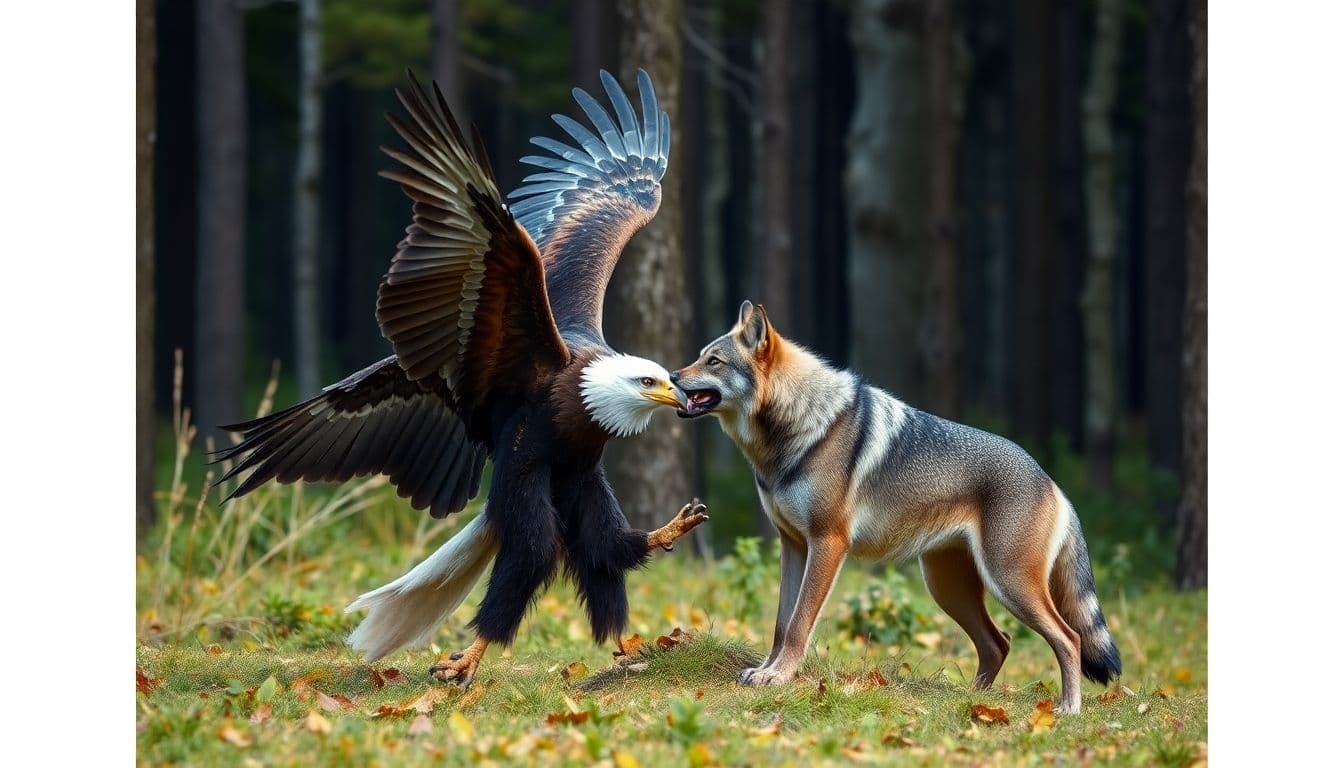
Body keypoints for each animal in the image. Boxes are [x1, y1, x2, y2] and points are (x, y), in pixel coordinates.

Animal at [670, 301, 1121, 713]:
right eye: (699, 355)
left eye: (713, 361)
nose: (672, 376)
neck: (797, 429)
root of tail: (1052, 482)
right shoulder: (792, 545)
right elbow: (781, 625)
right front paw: (766, 671)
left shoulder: (827, 543)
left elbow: (798, 625)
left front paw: (778, 678)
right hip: (949, 589)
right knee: (999, 643)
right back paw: (972, 702)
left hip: (1008, 584)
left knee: (1070, 638)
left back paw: (1067, 709)